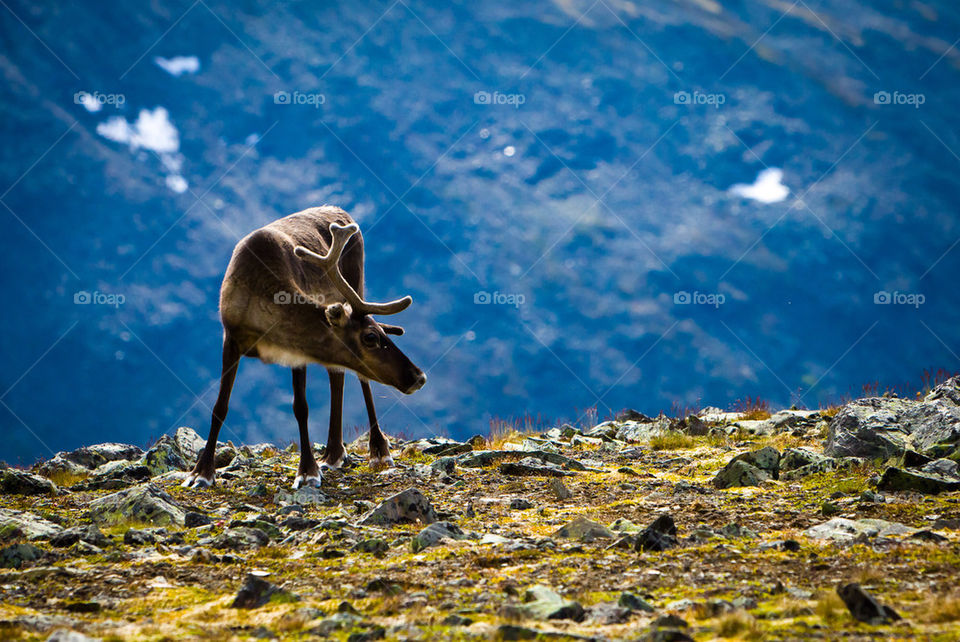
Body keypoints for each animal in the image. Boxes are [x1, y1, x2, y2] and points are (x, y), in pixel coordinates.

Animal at [182, 205, 426, 489]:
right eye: (370, 338)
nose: (419, 376)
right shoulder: (230, 337)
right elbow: (219, 407)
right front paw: (201, 472)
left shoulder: (297, 353)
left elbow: (301, 407)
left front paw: (307, 470)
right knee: (337, 376)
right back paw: (333, 453)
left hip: (358, 281)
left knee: (360, 378)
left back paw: (378, 450)